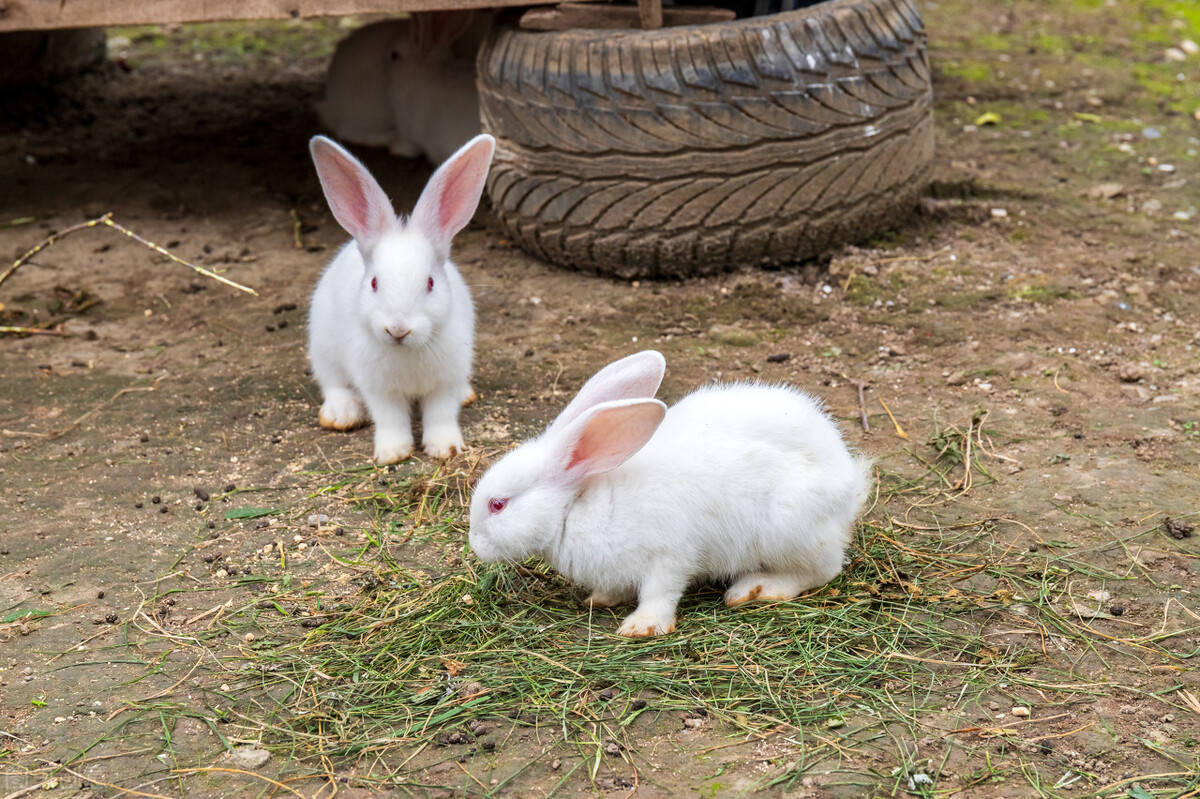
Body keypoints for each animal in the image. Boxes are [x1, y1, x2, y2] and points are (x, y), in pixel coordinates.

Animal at [309, 134, 496, 463]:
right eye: (374, 283)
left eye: (430, 283)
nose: (397, 329)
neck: (408, 351)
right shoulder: (379, 389)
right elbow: (391, 419)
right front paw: (393, 453)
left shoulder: (446, 381)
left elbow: (441, 415)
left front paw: (444, 449)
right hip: (322, 344)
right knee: (331, 381)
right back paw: (341, 413)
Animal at [468, 347, 873, 633]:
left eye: (498, 504)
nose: (474, 545)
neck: (575, 506)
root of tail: (848, 484)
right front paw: (601, 599)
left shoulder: (669, 555)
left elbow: (659, 592)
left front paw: (642, 626)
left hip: (788, 530)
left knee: (821, 571)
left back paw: (756, 589)